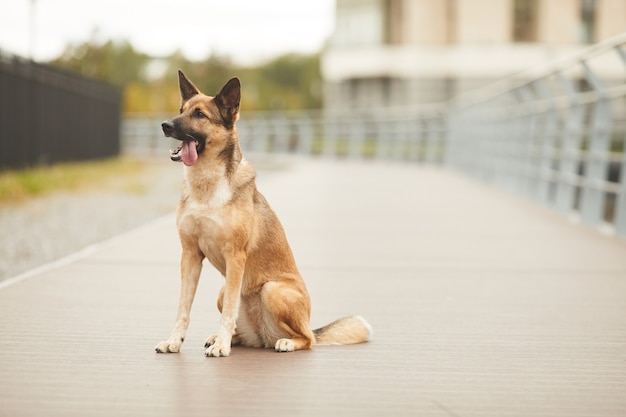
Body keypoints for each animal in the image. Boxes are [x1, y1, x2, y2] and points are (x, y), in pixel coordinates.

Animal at [155, 70, 370, 356]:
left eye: (200, 115)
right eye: (182, 110)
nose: (165, 125)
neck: (206, 186)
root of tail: (264, 336)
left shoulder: (235, 257)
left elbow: (229, 311)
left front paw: (221, 346)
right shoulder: (190, 256)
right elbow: (183, 308)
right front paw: (175, 341)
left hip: (272, 290)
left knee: (308, 339)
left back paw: (284, 342)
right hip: (223, 291)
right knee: (244, 329)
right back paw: (224, 337)